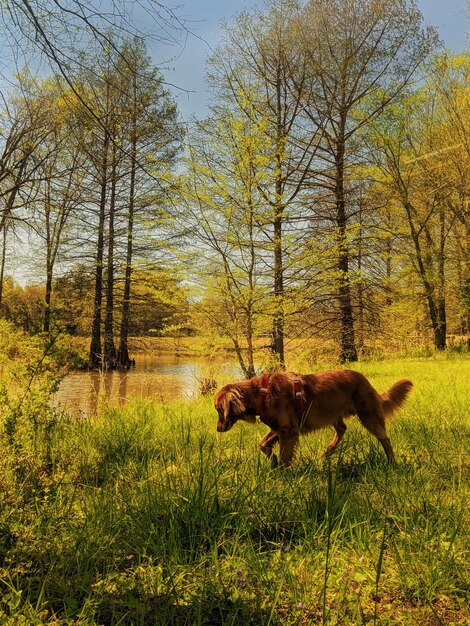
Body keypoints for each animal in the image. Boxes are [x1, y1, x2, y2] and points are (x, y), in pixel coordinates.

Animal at [215, 370, 414, 464]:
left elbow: (285, 458)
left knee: (384, 439)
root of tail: (365, 380)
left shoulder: (288, 432)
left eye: (218, 410)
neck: (260, 393)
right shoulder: (279, 428)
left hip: (368, 415)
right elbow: (262, 444)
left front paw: (282, 477)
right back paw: (329, 450)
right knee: (342, 429)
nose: (218, 428)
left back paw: (391, 462)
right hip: (333, 413)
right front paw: (273, 461)